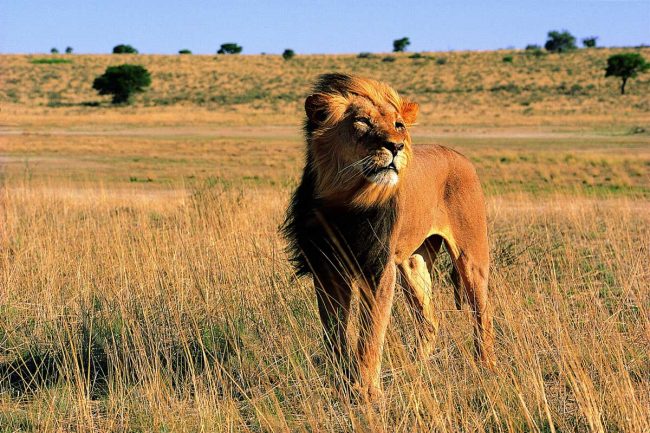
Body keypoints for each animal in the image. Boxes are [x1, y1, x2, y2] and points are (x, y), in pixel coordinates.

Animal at [282, 73, 495, 400]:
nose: (396, 146)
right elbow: (334, 331)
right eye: (362, 121)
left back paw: (486, 367)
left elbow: (371, 333)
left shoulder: (379, 267)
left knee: (483, 311)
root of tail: (458, 154)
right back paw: (416, 370)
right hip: (413, 264)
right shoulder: (327, 268)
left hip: (471, 256)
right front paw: (341, 382)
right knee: (429, 322)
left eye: (399, 125)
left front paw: (367, 393)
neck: (346, 200)